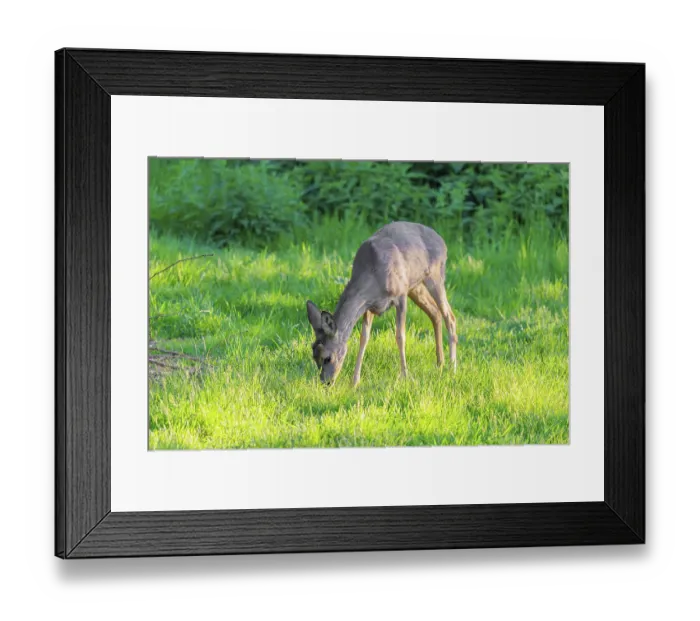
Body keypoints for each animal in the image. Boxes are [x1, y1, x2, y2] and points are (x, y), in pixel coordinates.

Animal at [306, 221, 457, 386]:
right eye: (314, 357)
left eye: (328, 357)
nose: (326, 383)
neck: (372, 276)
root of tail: (442, 241)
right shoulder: (369, 306)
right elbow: (363, 339)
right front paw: (355, 382)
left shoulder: (401, 294)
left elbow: (400, 336)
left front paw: (405, 376)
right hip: (415, 286)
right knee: (435, 313)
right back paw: (440, 363)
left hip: (435, 276)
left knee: (450, 316)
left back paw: (452, 367)